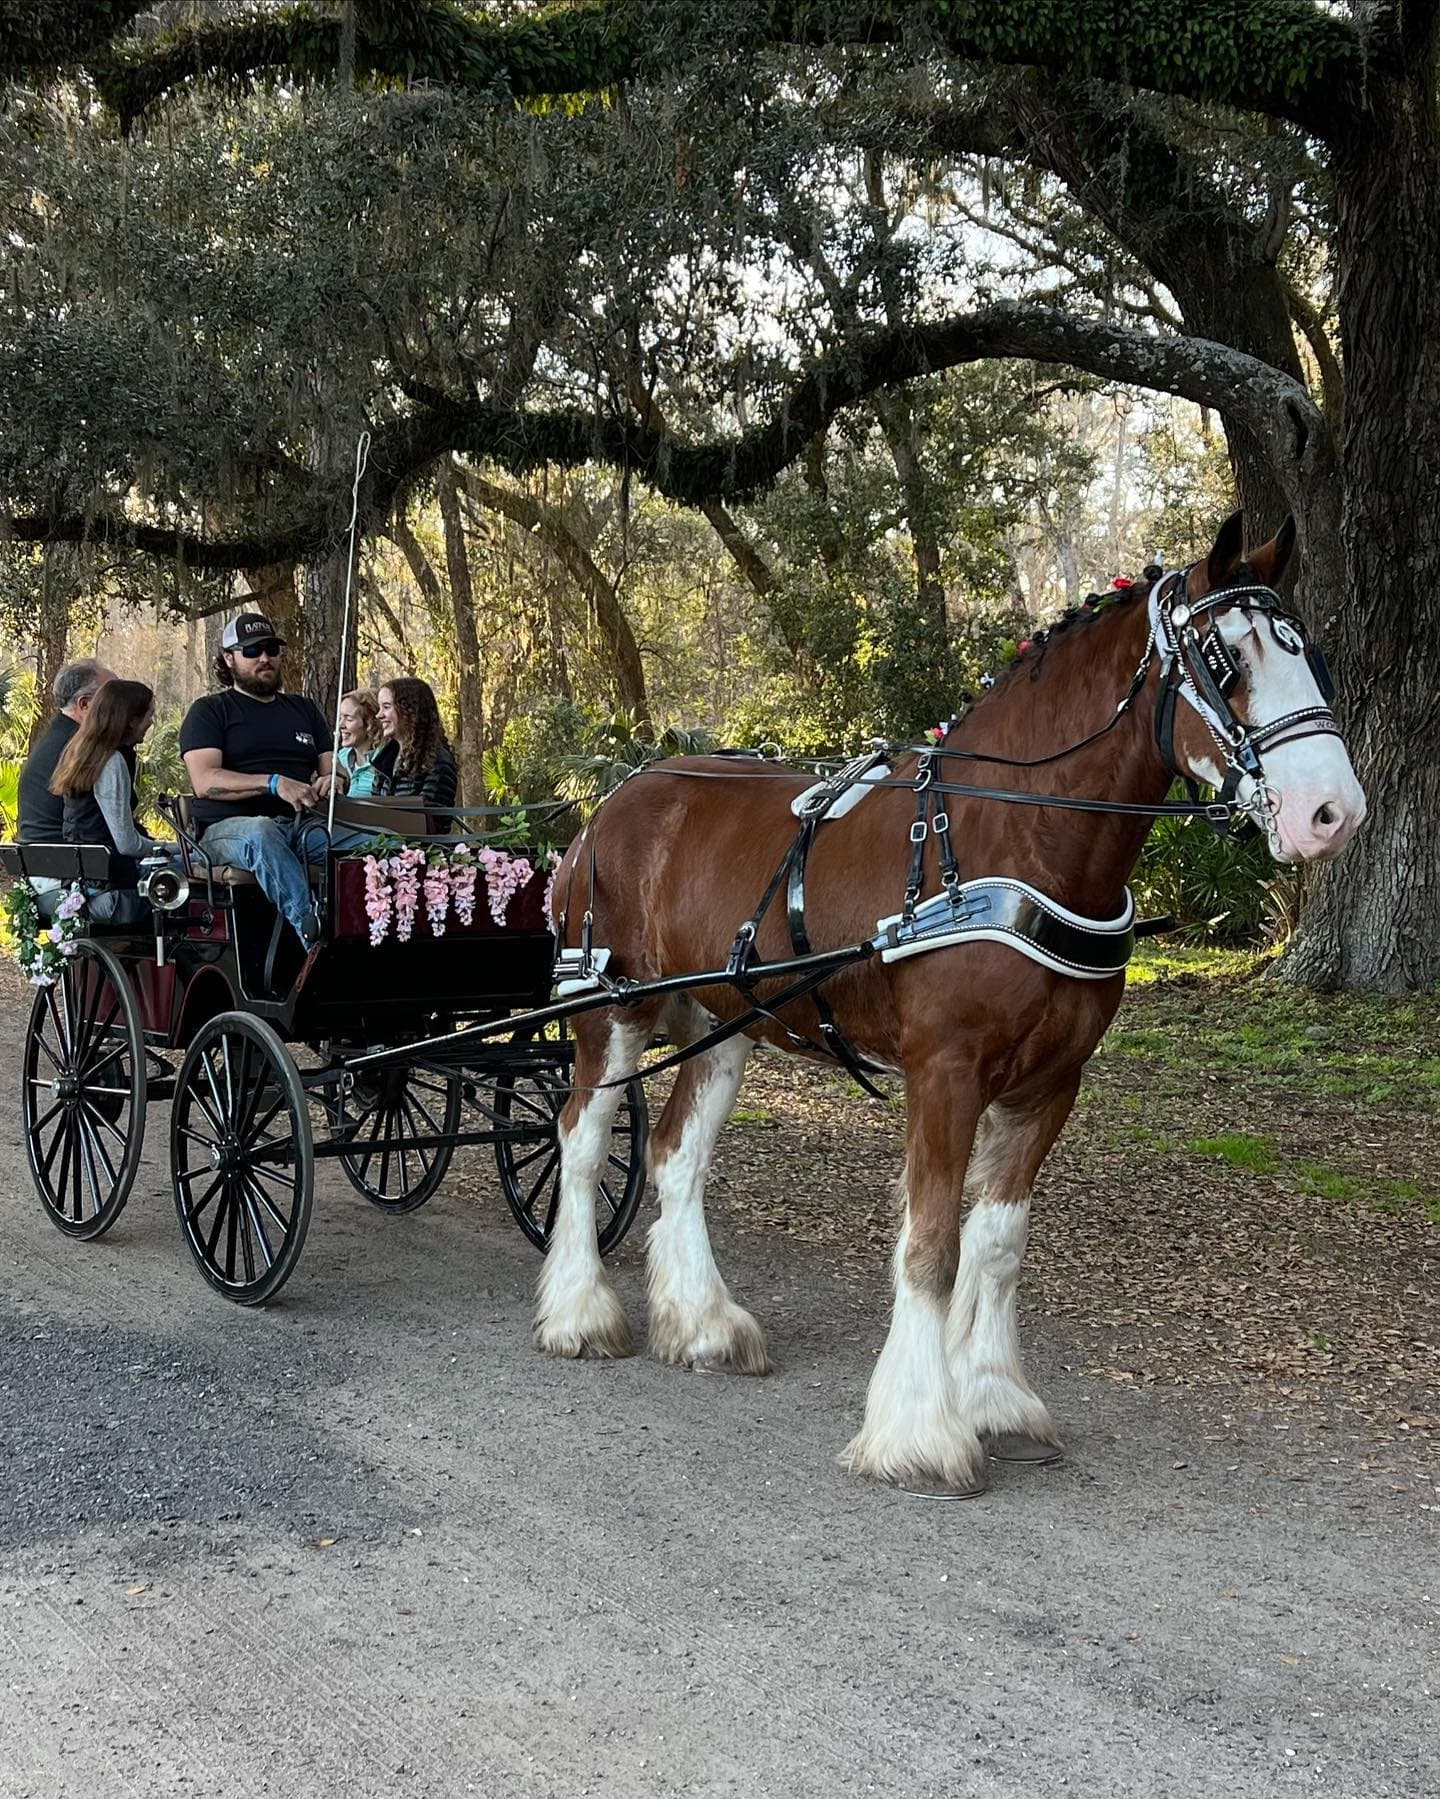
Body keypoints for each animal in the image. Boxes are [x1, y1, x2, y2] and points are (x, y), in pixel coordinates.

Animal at [538, 514, 1366, 1497]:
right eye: (1224, 656)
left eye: (1310, 652)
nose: (1333, 811)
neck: (1012, 833)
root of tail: (610, 801)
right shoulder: (945, 1074)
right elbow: (930, 1245)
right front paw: (920, 1431)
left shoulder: (1050, 1083)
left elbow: (997, 1243)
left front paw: (996, 1398)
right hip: (610, 1009)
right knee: (583, 1139)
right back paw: (579, 1310)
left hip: (722, 1025)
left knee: (674, 1154)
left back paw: (703, 1323)